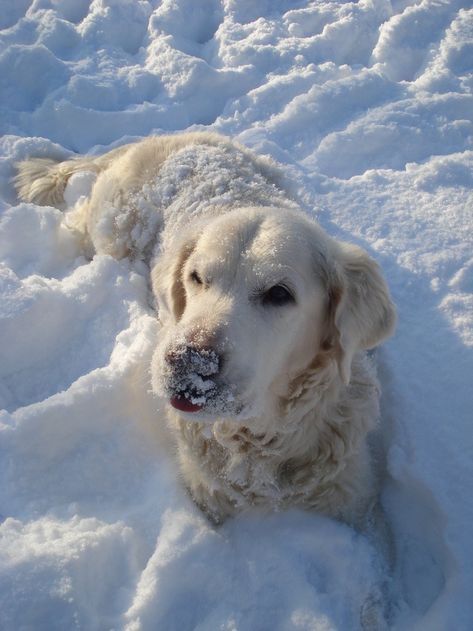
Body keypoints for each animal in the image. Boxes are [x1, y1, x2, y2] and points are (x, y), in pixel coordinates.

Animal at [14, 133, 394, 528]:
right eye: (196, 277)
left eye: (279, 294)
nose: (187, 363)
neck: (262, 441)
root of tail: (155, 139)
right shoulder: (207, 495)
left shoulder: (353, 497)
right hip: (110, 229)